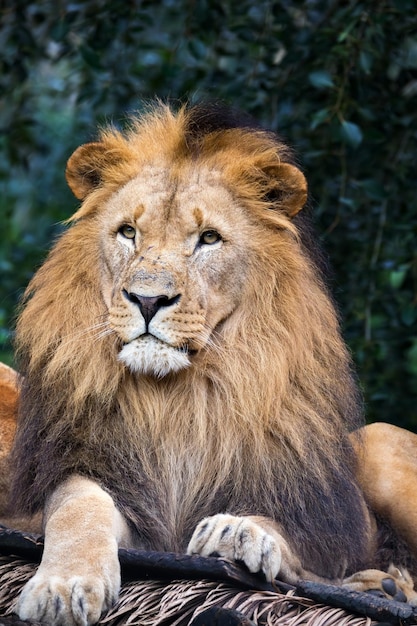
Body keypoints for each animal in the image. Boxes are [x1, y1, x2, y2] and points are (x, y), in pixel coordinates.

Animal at [2, 103, 416, 624]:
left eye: (209, 238)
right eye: (128, 232)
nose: (147, 299)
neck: (177, 399)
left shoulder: (314, 513)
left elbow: (288, 537)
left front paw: (237, 531)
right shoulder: (101, 480)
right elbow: (77, 505)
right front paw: (62, 586)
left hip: (381, 443)